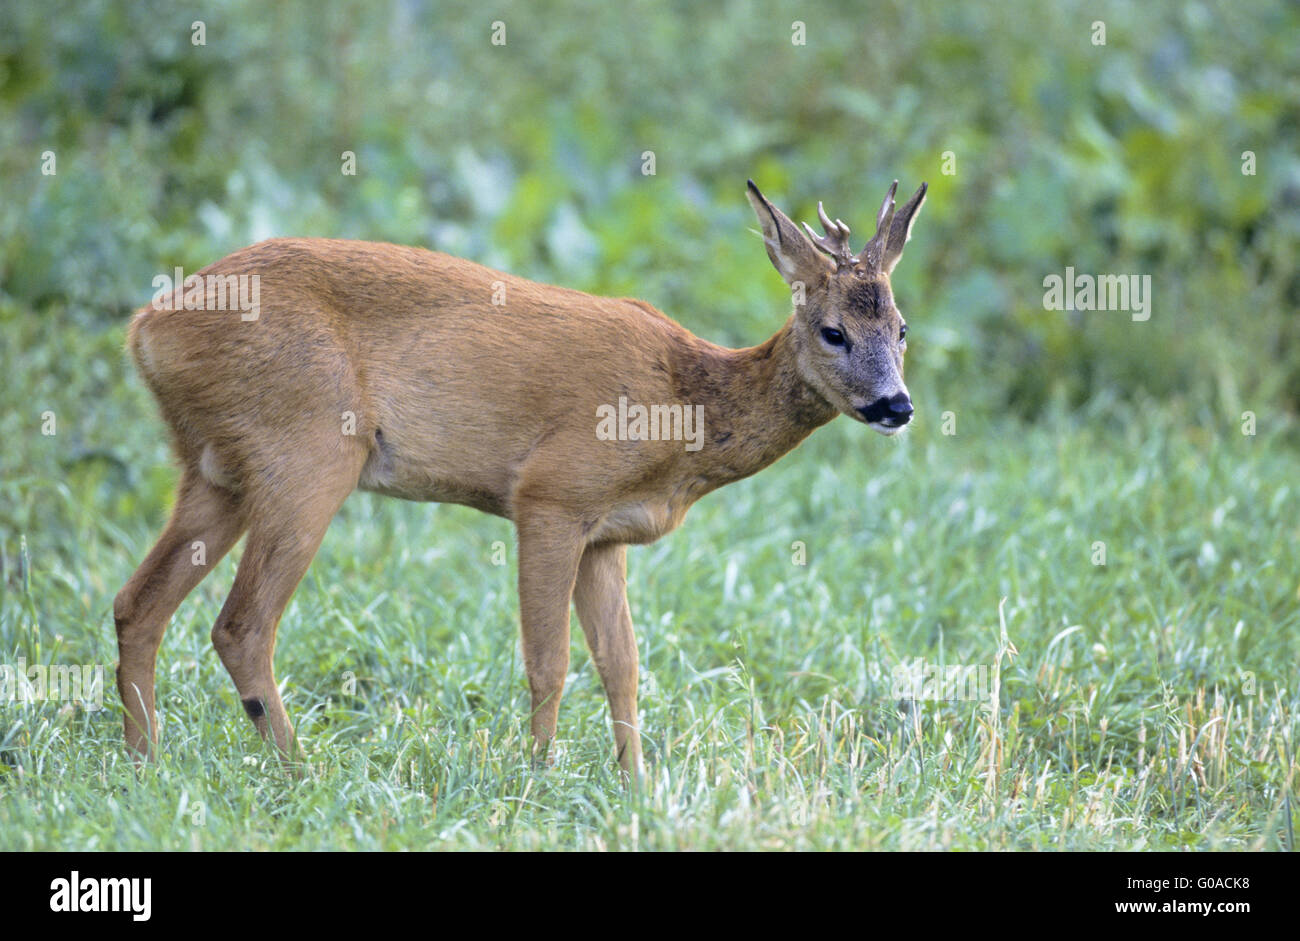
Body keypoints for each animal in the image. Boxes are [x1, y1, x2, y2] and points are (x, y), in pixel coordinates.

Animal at [114, 176, 925, 769]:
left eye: (902, 328)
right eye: (834, 331)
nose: (897, 405)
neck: (685, 406)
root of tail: (146, 327)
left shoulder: (607, 535)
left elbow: (623, 664)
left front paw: (635, 783)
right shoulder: (551, 495)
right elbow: (550, 660)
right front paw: (536, 774)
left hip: (215, 469)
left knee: (137, 603)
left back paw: (144, 760)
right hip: (308, 448)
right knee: (241, 623)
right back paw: (300, 767)